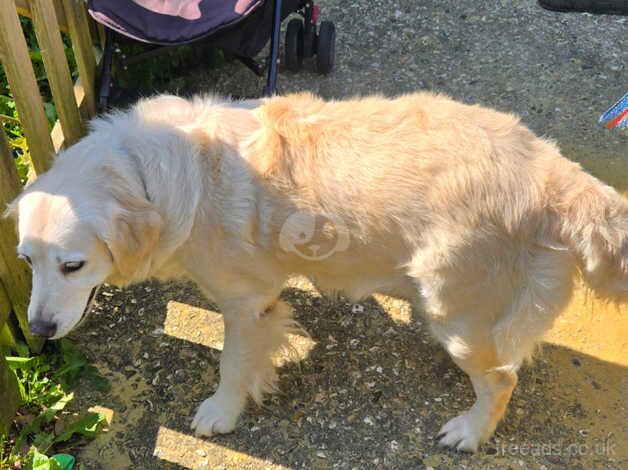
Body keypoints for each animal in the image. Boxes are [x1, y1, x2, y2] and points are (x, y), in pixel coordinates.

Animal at [6, 92, 628, 452]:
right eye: (27, 261)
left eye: (72, 265)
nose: (37, 331)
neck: (146, 173)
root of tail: (557, 172)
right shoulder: (260, 299)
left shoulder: (243, 300)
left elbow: (231, 365)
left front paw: (222, 412)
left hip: (451, 307)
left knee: (501, 380)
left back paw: (470, 431)